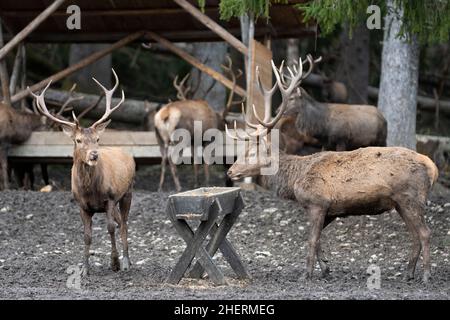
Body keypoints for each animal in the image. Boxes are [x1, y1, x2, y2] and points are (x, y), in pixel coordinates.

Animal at [29, 70, 135, 276]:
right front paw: (84, 268)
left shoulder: (110, 198)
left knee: (124, 223)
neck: (90, 190)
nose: (94, 154)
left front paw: (115, 263)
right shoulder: (81, 205)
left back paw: (127, 261)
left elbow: (110, 228)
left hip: (128, 192)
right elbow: (86, 236)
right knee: (120, 222)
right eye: (78, 140)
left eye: (97, 139)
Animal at [153, 56, 244, 191]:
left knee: (163, 159)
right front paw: (207, 182)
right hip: (179, 137)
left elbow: (195, 162)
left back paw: (160, 186)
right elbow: (205, 161)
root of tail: (165, 114)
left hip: (159, 137)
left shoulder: (193, 141)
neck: (216, 118)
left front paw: (196, 183)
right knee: (171, 158)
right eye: (225, 122)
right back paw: (178, 186)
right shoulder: (206, 138)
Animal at [227, 55, 438, 282]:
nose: (230, 171)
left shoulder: (317, 202)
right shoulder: (330, 210)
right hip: (400, 202)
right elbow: (318, 239)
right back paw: (408, 273)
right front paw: (326, 268)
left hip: (411, 197)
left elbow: (311, 239)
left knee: (425, 233)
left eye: (251, 153)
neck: (294, 180)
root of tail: (432, 167)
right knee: (414, 235)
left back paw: (426, 275)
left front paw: (307, 274)